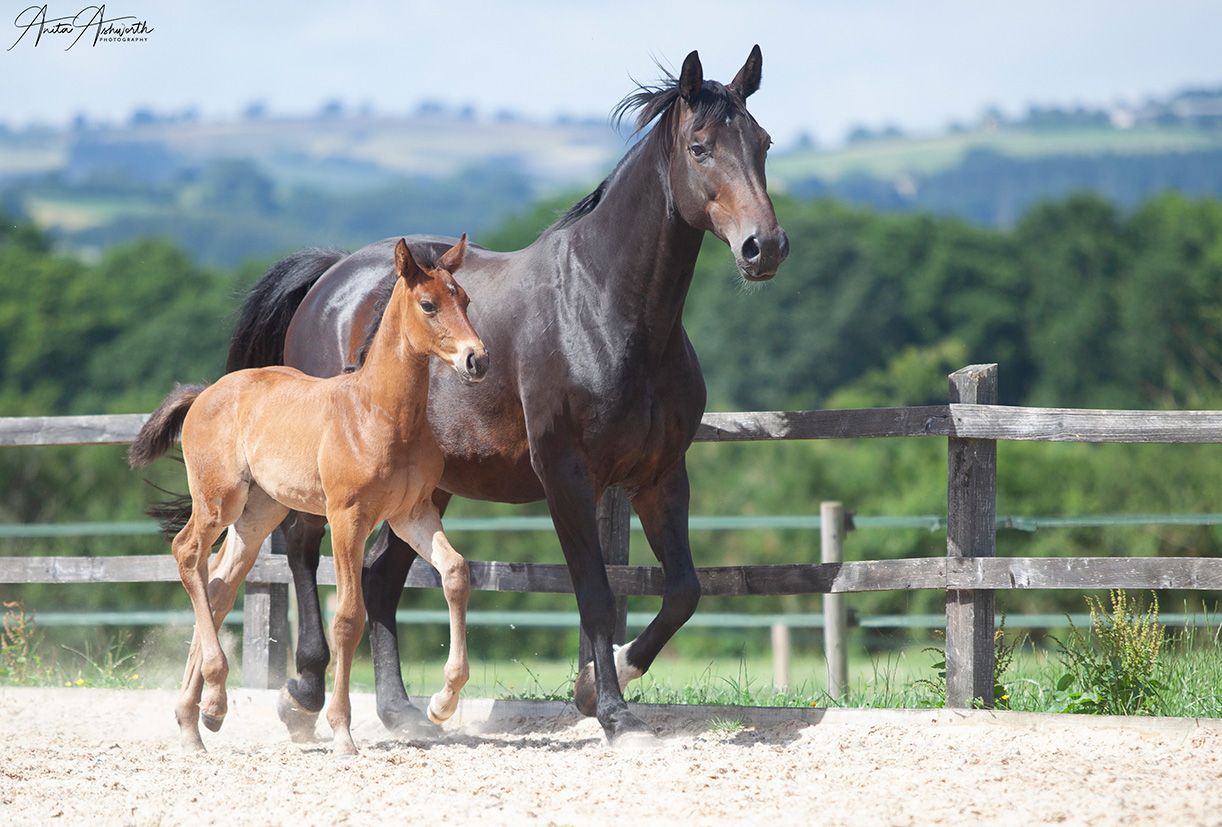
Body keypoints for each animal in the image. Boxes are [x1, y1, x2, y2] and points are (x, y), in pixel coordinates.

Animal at [126, 235, 483, 752]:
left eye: (466, 300)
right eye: (429, 304)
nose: (478, 359)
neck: (379, 411)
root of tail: (207, 393)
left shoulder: (411, 512)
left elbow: (455, 572)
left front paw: (442, 702)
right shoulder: (348, 516)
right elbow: (349, 618)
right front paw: (341, 731)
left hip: (258, 512)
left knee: (219, 583)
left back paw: (199, 718)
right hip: (219, 502)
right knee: (188, 552)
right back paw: (213, 694)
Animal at [224, 46, 786, 742]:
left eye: (763, 142)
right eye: (701, 147)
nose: (765, 247)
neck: (605, 307)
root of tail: (331, 279)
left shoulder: (660, 475)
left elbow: (683, 590)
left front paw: (601, 681)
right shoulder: (566, 475)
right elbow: (596, 595)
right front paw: (612, 712)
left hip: (422, 484)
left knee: (378, 580)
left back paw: (403, 712)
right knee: (304, 550)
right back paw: (301, 693)